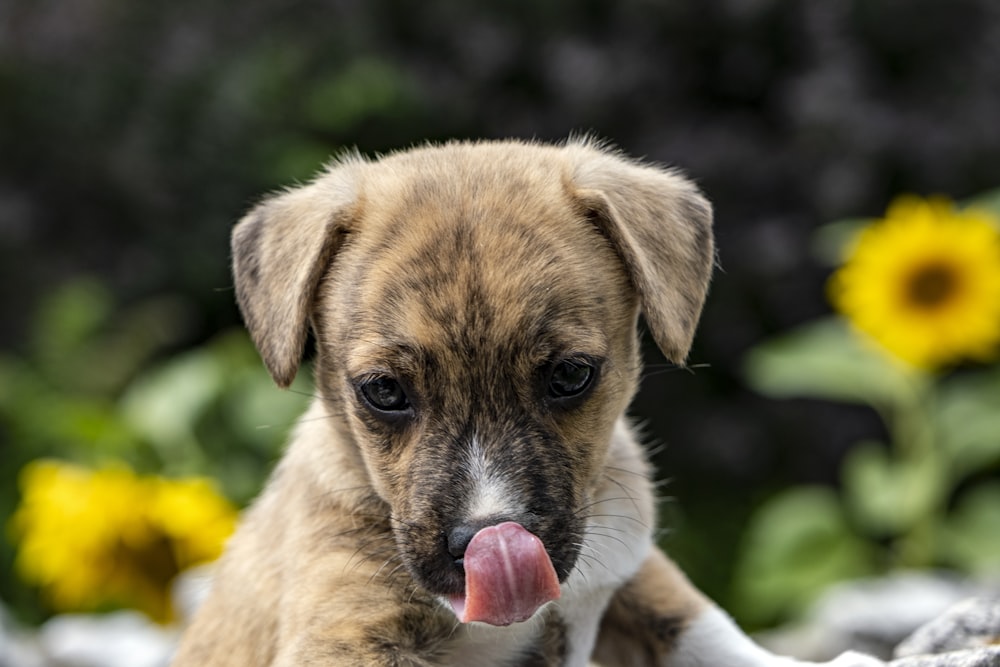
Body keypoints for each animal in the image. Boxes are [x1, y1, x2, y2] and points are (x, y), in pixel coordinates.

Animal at [174, 138, 884, 664]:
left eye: (570, 376)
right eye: (384, 392)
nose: (490, 537)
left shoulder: (629, 570)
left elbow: (701, 627)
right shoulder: (344, 634)